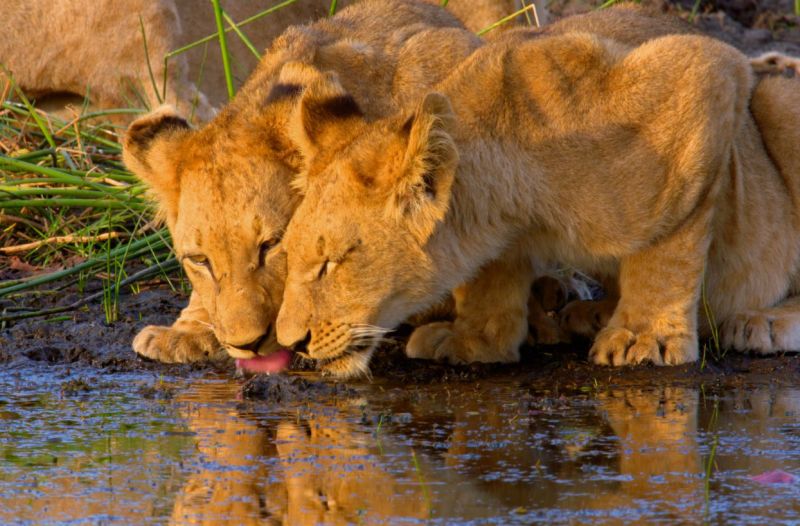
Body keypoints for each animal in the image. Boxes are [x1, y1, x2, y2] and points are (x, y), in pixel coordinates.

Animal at [276, 26, 800, 378]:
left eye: (332, 262)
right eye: (290, 256)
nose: (289, 343)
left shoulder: (704, 73)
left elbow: (667, 249)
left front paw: (642, 335)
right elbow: (488, 278)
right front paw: (474, 338)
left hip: (778, 95)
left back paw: (762, 321)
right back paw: (592, 312)